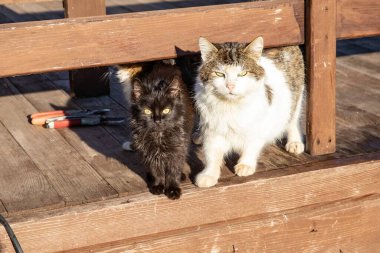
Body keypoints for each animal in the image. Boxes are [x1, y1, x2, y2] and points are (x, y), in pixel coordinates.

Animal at [117, 61, 194, 200]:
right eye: (147, 111)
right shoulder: (147, 149)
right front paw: (158, 185)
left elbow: (173, 168)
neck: (159, 135)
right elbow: (155, 168)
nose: (157, 120)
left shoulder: (178, 147)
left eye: (166, 110)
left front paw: (173, 189)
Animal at [194, 36, 304, 188]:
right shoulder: (212, 131)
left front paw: (245, 165)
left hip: (296, 97)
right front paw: (209, 174)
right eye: (219, 74)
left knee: (293, 120)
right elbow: (212, 154)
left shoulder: (257, 126)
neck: (231, 106)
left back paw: (294, 142)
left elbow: (251, 146)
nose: (230, 86)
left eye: (243, 73)